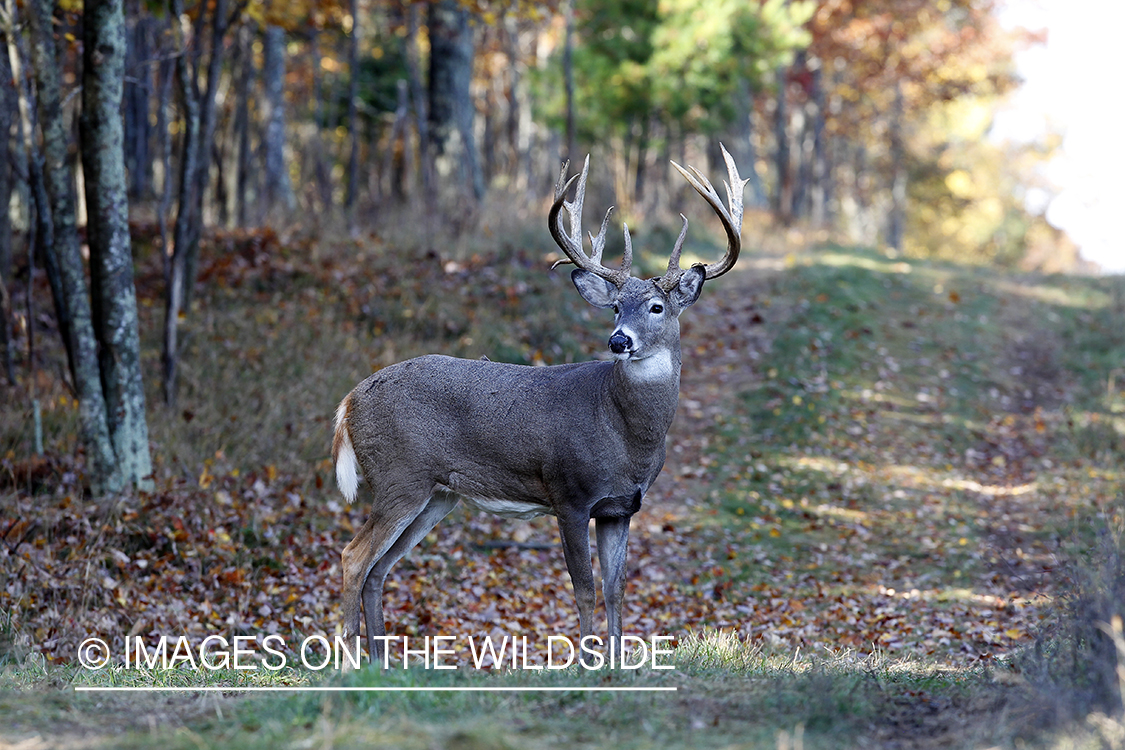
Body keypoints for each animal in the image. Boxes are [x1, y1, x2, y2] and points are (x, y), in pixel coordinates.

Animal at [330, 145, 747, 661]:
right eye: (615, 307)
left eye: (656, 307)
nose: (618, 340)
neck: (626, 434)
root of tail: (349, 401)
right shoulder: (569, 493)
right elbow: (584, 588)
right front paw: (587, 661)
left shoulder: (620, 508)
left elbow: (616, 588)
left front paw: (616, 660)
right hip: (398, 475)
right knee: (354, 557)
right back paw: (351, 661)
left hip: (436, 495)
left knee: (379, 569)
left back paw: (381, 661)